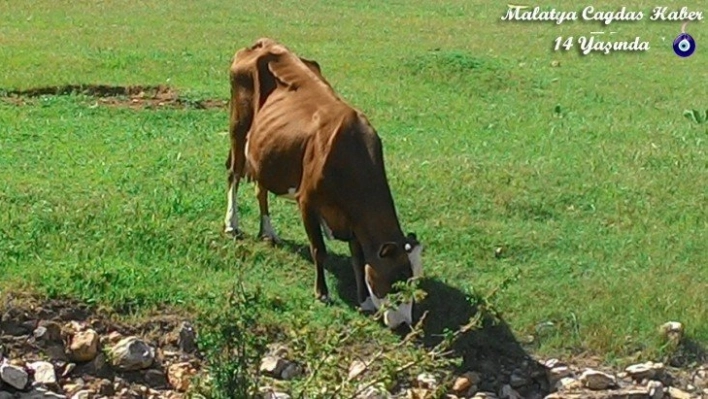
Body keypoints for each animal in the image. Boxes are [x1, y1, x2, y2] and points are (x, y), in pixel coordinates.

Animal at [224, 38, 424, 332]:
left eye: (415, 283)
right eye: (397, 283)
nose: (404, 325)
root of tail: (265, 43)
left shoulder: (354, 220)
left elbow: (358, 258)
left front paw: (364, 300)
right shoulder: (308, 202)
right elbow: (319, 250)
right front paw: (322, 293)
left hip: (265, 151)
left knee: (261, 188)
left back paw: (268, 231)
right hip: (239, 126)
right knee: (234, 175)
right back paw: (231, 223)